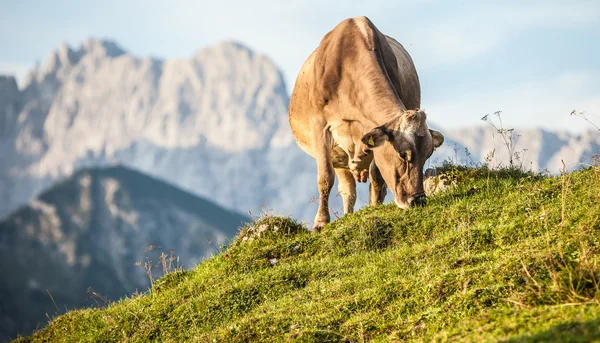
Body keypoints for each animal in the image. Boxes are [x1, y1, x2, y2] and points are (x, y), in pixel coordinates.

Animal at [288, 15, 442, 231]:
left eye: (428, 154)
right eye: (403, 154)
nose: (417, 200)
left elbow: (377, 177)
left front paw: (374, 209)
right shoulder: (320, 125)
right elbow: (325, 177)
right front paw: (321, 222)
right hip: (338, 156)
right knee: (347, 189)